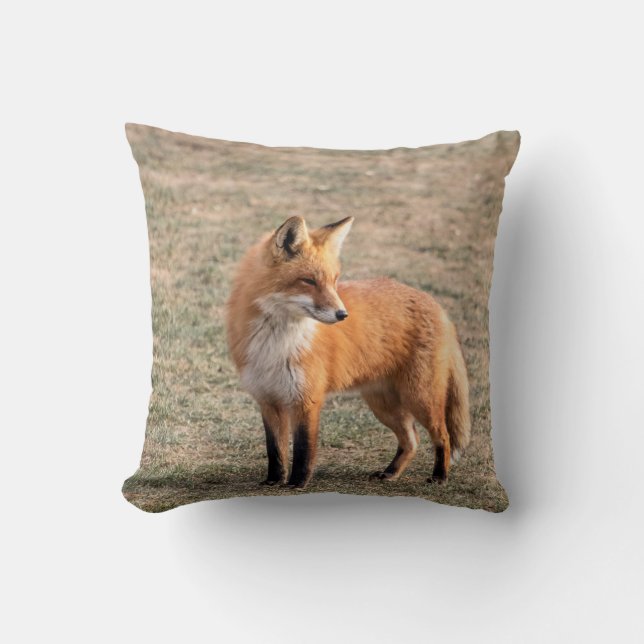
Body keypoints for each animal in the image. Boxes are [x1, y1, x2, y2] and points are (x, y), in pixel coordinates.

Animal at [225, 215, 470, 489]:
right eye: (309, 281)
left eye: (334, 281)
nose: (343, 315)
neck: (276, 341)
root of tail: (436, 304)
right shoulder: (268, 399)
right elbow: (275, 450)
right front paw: (273, 481)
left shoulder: (306, 400)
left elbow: (303, 449)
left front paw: (297, 483)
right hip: (383, 405)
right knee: (412, 440)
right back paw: (390, 473)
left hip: (420, 398)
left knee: (443, 435)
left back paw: (440, 476)